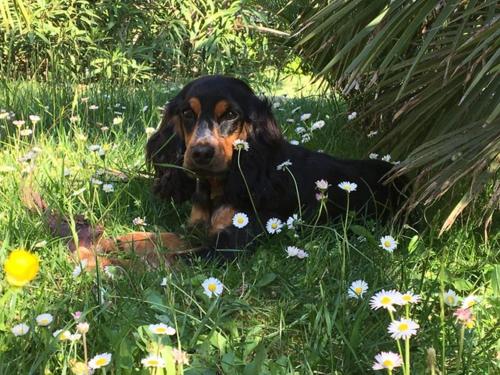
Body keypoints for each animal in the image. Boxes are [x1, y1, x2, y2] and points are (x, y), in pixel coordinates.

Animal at [145, 74, 406, 260]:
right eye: (187, 113)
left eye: (231, 114)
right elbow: (154, 239)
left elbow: (167, 258)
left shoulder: (231, 241)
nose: (200, 153)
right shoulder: (195, 228)